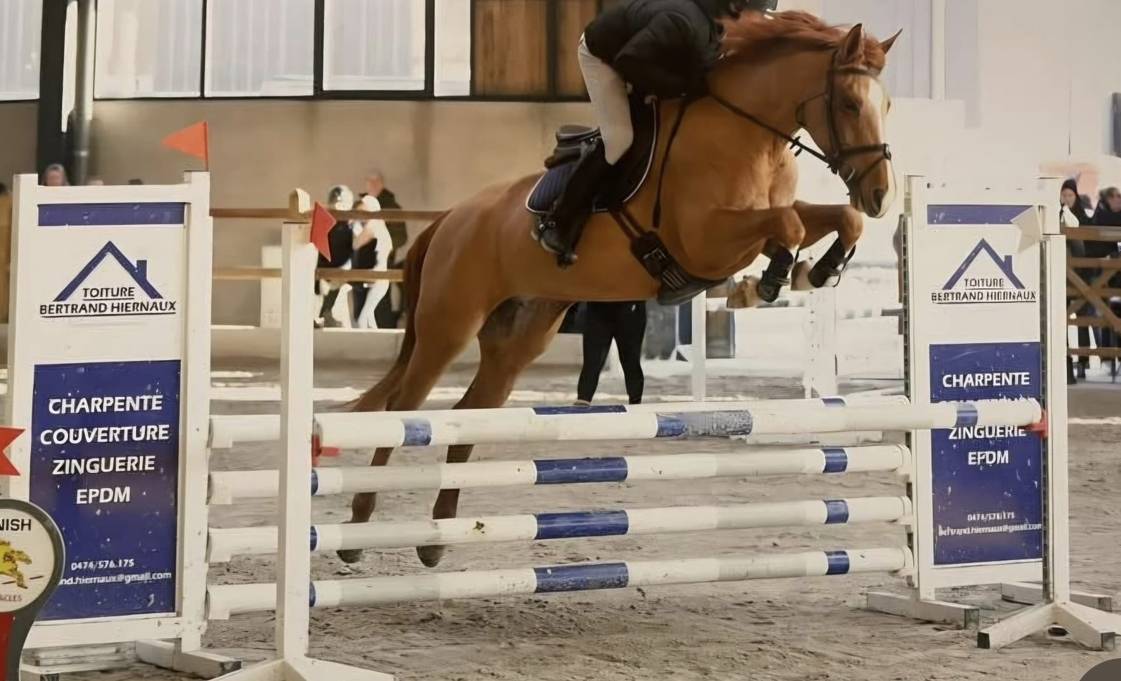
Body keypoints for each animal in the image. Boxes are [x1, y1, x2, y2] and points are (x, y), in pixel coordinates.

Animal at [338, 12, 900, 567]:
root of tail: (451, 218)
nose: (880, 195)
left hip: (519, 336)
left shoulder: (752, 226)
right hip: (449, 325)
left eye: (888, 105)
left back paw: (435, 539)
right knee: (402, 409)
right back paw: (359, 527)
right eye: (850, 103)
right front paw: (773, 277)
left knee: (469, 415)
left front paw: (819, 270)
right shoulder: (706, 241)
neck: (748, 134)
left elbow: (834, 219)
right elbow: (788, 225)